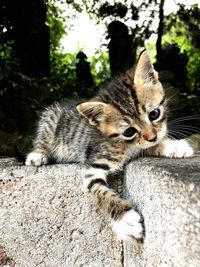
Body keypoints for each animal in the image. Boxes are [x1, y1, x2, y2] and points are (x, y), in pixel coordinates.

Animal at [25, 51, 193, 242]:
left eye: (154, 114)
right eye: (129, 131)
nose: (152, 136)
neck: (126, 145)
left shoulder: (141, 145)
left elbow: (150, 146)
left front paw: (173, 146)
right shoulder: (93, 168)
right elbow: (102, 192)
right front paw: (126, 219)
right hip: (50, 118)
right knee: (42, 138)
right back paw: (37, 155)